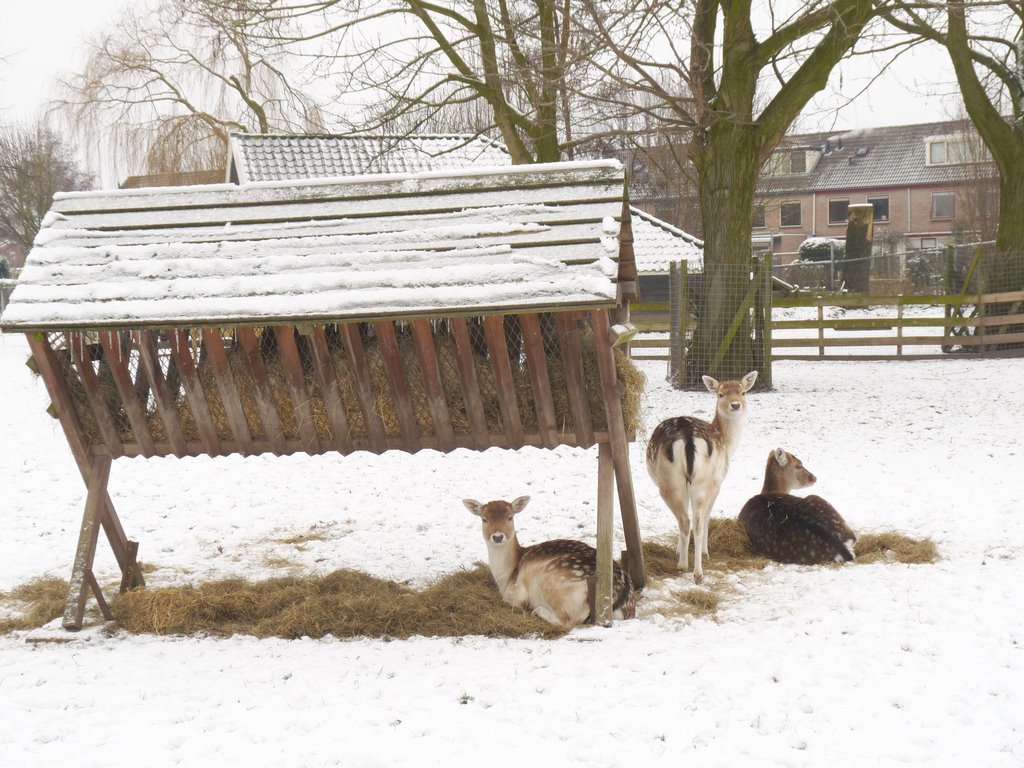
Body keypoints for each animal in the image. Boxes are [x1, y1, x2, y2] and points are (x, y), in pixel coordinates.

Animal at [462, 495, 634, 626]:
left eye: (510, 517)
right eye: (484, 519)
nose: (497, 536)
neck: (506, 576)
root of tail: (618, 596)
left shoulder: (515, 593)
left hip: (554, 582)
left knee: (568, 621)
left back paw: (537, 610)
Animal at [647, 370, 761, 581]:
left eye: (743, 392)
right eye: (720, 394)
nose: (735, 405)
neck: (727, 442)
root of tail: (687, 435)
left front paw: (679, 550)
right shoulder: (718, 483)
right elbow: (708, 515)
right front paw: (704, 552)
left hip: (675, 481)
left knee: (685, 518)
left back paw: (689, 566)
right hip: (701, 482)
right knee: (695, 521)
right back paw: (691, 568)